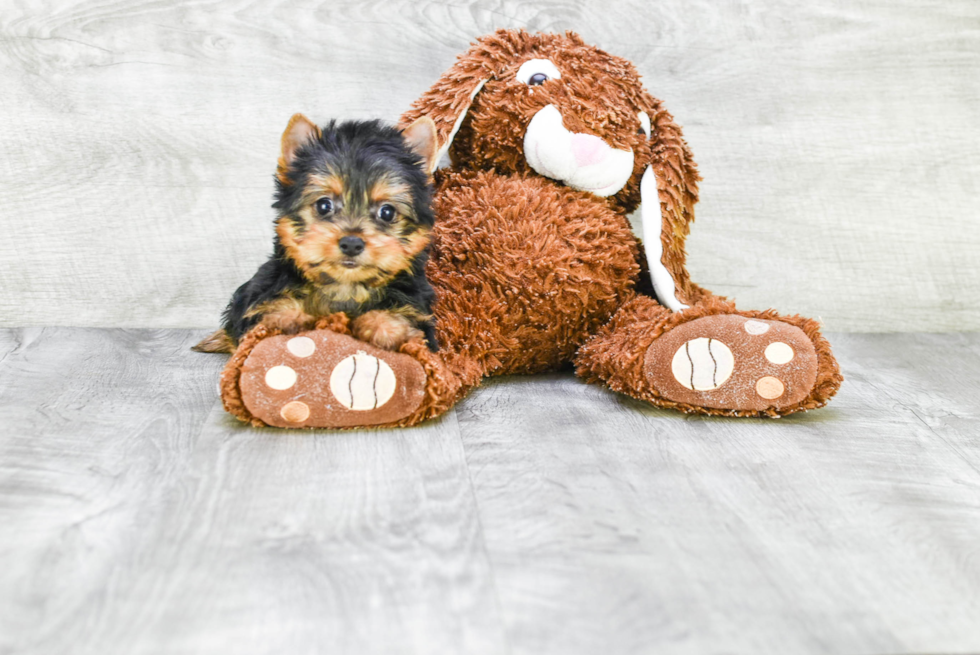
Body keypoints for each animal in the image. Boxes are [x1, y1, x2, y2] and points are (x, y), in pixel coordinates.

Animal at [193, 115, 438, 356]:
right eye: (323, 205)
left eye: (387, 212)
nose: (351, 243)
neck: (345, 287)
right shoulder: (260, 294)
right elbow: (267, 312)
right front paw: (286, 316)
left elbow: (408, 317)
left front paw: (388, 326)